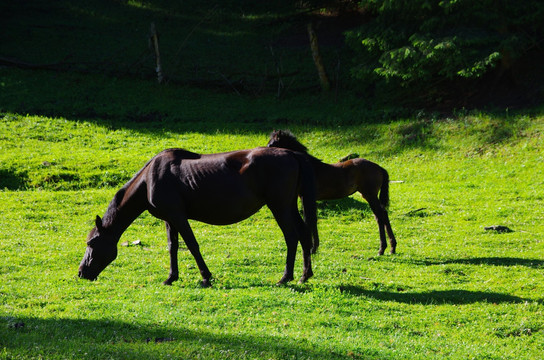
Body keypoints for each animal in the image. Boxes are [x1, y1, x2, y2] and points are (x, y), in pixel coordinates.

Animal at [77, 146, 316, 286]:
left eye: (91, 243)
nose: (81, 272)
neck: (149, 179)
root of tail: (291, 154)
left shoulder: (178, 216)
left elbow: (191, 245)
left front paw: (206, 277)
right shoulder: (169, 219)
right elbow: (172, 247)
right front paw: (171, 277)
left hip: (280, 207)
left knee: (292, 237)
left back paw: (285, 277)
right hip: (289, 206)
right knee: (304, 235)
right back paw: (305, 275)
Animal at [266, 131, 398, 255]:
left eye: (272, 143)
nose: (267, 152)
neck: (310, 168)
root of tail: (380, 168)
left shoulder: (306, 197)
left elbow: (309, 219)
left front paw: (312, 248)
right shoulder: (309, 198)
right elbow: (312, 219)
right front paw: (314, 248)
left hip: (370, 195)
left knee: (380, 216)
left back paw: (382, 249)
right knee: (382, 214)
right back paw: (391, 248)